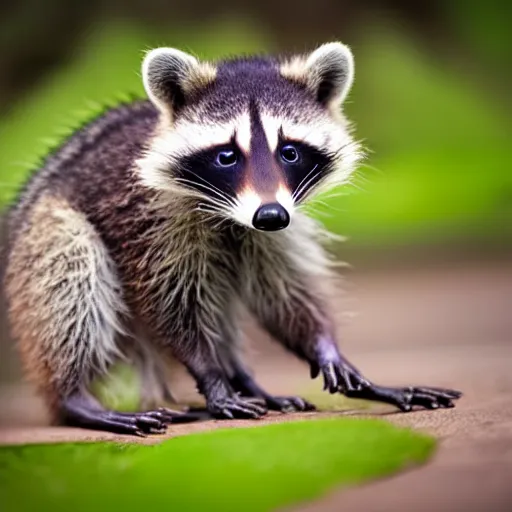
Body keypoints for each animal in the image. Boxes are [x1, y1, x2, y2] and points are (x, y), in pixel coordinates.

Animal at [2, 42, 462, 434]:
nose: (270, 215)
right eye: (226, 155)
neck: (233, 216)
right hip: (44, 231)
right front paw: (210, 376)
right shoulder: (152, 219)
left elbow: (284, 292)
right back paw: (75, 396)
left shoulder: (280, 223)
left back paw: (248, 382)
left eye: (289, 152)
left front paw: (325, 347)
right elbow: (168, 303)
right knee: (71, 276)